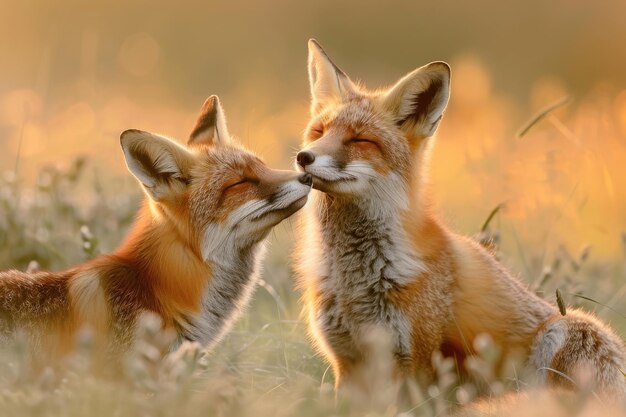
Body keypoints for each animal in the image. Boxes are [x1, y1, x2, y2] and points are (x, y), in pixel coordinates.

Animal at [294, 39, 624, 400]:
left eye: (360, 140)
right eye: (318, 132)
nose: (303, 157)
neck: (353, 279)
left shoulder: (417, 362)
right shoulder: (348, 363)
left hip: (565, 329)